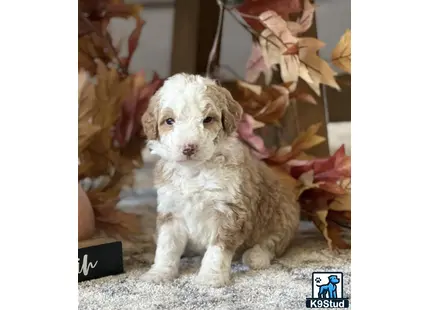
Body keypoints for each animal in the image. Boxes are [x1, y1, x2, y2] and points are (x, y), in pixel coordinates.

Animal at [141, 72, 298, 286]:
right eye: (169, 121)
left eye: (207, 119)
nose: (189, 148)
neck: (195, 172)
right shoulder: (171, 211)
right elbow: (167, 246)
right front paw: (160, 272)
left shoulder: (230, 211)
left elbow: (217, 250)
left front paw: (210, 277)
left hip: (282, 214)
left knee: (273, 241)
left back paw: (257, 256)